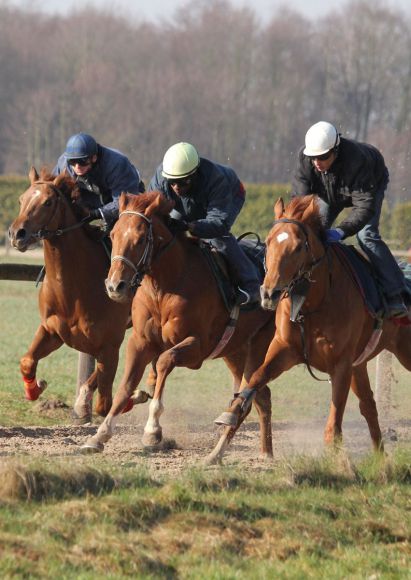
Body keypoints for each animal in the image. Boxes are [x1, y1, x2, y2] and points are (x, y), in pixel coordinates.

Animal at [8, 168, 138, 422]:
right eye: (21, 199)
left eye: (48, 202)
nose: (17, 234)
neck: (73, 289)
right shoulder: (52, 331)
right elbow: (27, 361)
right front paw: (36, 388)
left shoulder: (108, 343)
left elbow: (104, 403)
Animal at [79, 190, 276, 458]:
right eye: (113, 235)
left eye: (141, 238)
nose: (114, 285)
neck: (164, 286)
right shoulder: (140, 342)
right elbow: (124, 387)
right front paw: (99, 435)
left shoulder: (197, 347)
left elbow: (164, 361)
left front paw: (152, 430)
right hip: (235, 352)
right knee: (260, 396)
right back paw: (265, 452)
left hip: (261, 346)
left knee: (255, 393)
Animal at [212, 197, 411, 460]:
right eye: (268, 241)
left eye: (298, 247)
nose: (269, 293)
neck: (314, 303)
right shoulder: (285, 350)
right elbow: (255, 378)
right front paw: (229, 418)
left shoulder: (341, 365)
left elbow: (333, 426)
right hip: (360, 365)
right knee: (368, 405)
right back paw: (380, 458)